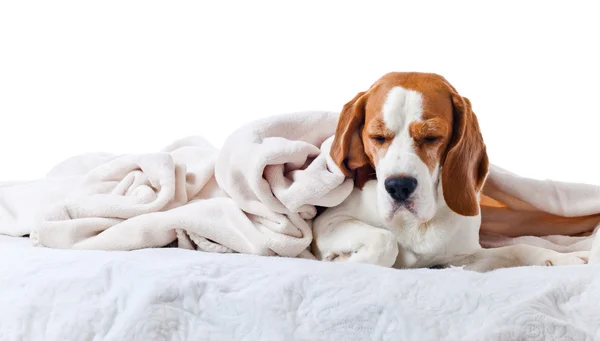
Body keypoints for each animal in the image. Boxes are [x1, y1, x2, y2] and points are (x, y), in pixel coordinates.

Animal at [312, 72, 588, 270]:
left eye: (432, 137)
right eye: (377, 137)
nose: (399, 187)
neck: (417, 224)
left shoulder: (462, 259)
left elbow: (518, 249)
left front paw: (561, 258)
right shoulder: (328, 221)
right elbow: (385, 240)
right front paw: (341, 262)